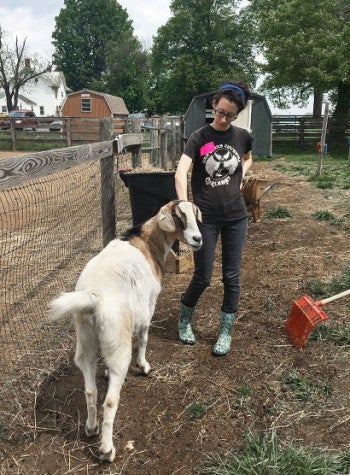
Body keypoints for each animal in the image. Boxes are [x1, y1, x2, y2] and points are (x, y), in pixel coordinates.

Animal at [49, 200, 202, 462]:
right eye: (179, 217)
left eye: (194, 214)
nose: (197, 239)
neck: (145, 242)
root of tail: (95, 296)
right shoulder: (147, 305)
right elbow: (143, 336)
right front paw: (143, 366)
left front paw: (107, 372)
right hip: (118, 342)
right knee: (110, 401)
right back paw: (107, 449)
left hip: (86, 341)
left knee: (90, 390)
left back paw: (91, 427)